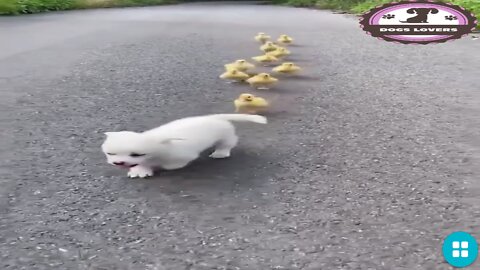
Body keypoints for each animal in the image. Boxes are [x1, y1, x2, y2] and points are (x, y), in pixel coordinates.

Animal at [102, 113, 266, 178]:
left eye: (136, 154)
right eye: (110, 154)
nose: (118, 162)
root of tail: (214, 117)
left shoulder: (183, 155)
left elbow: (174, 164)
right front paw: (140, 170)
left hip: (225, 135)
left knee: (227, 143)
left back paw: (221, 153)